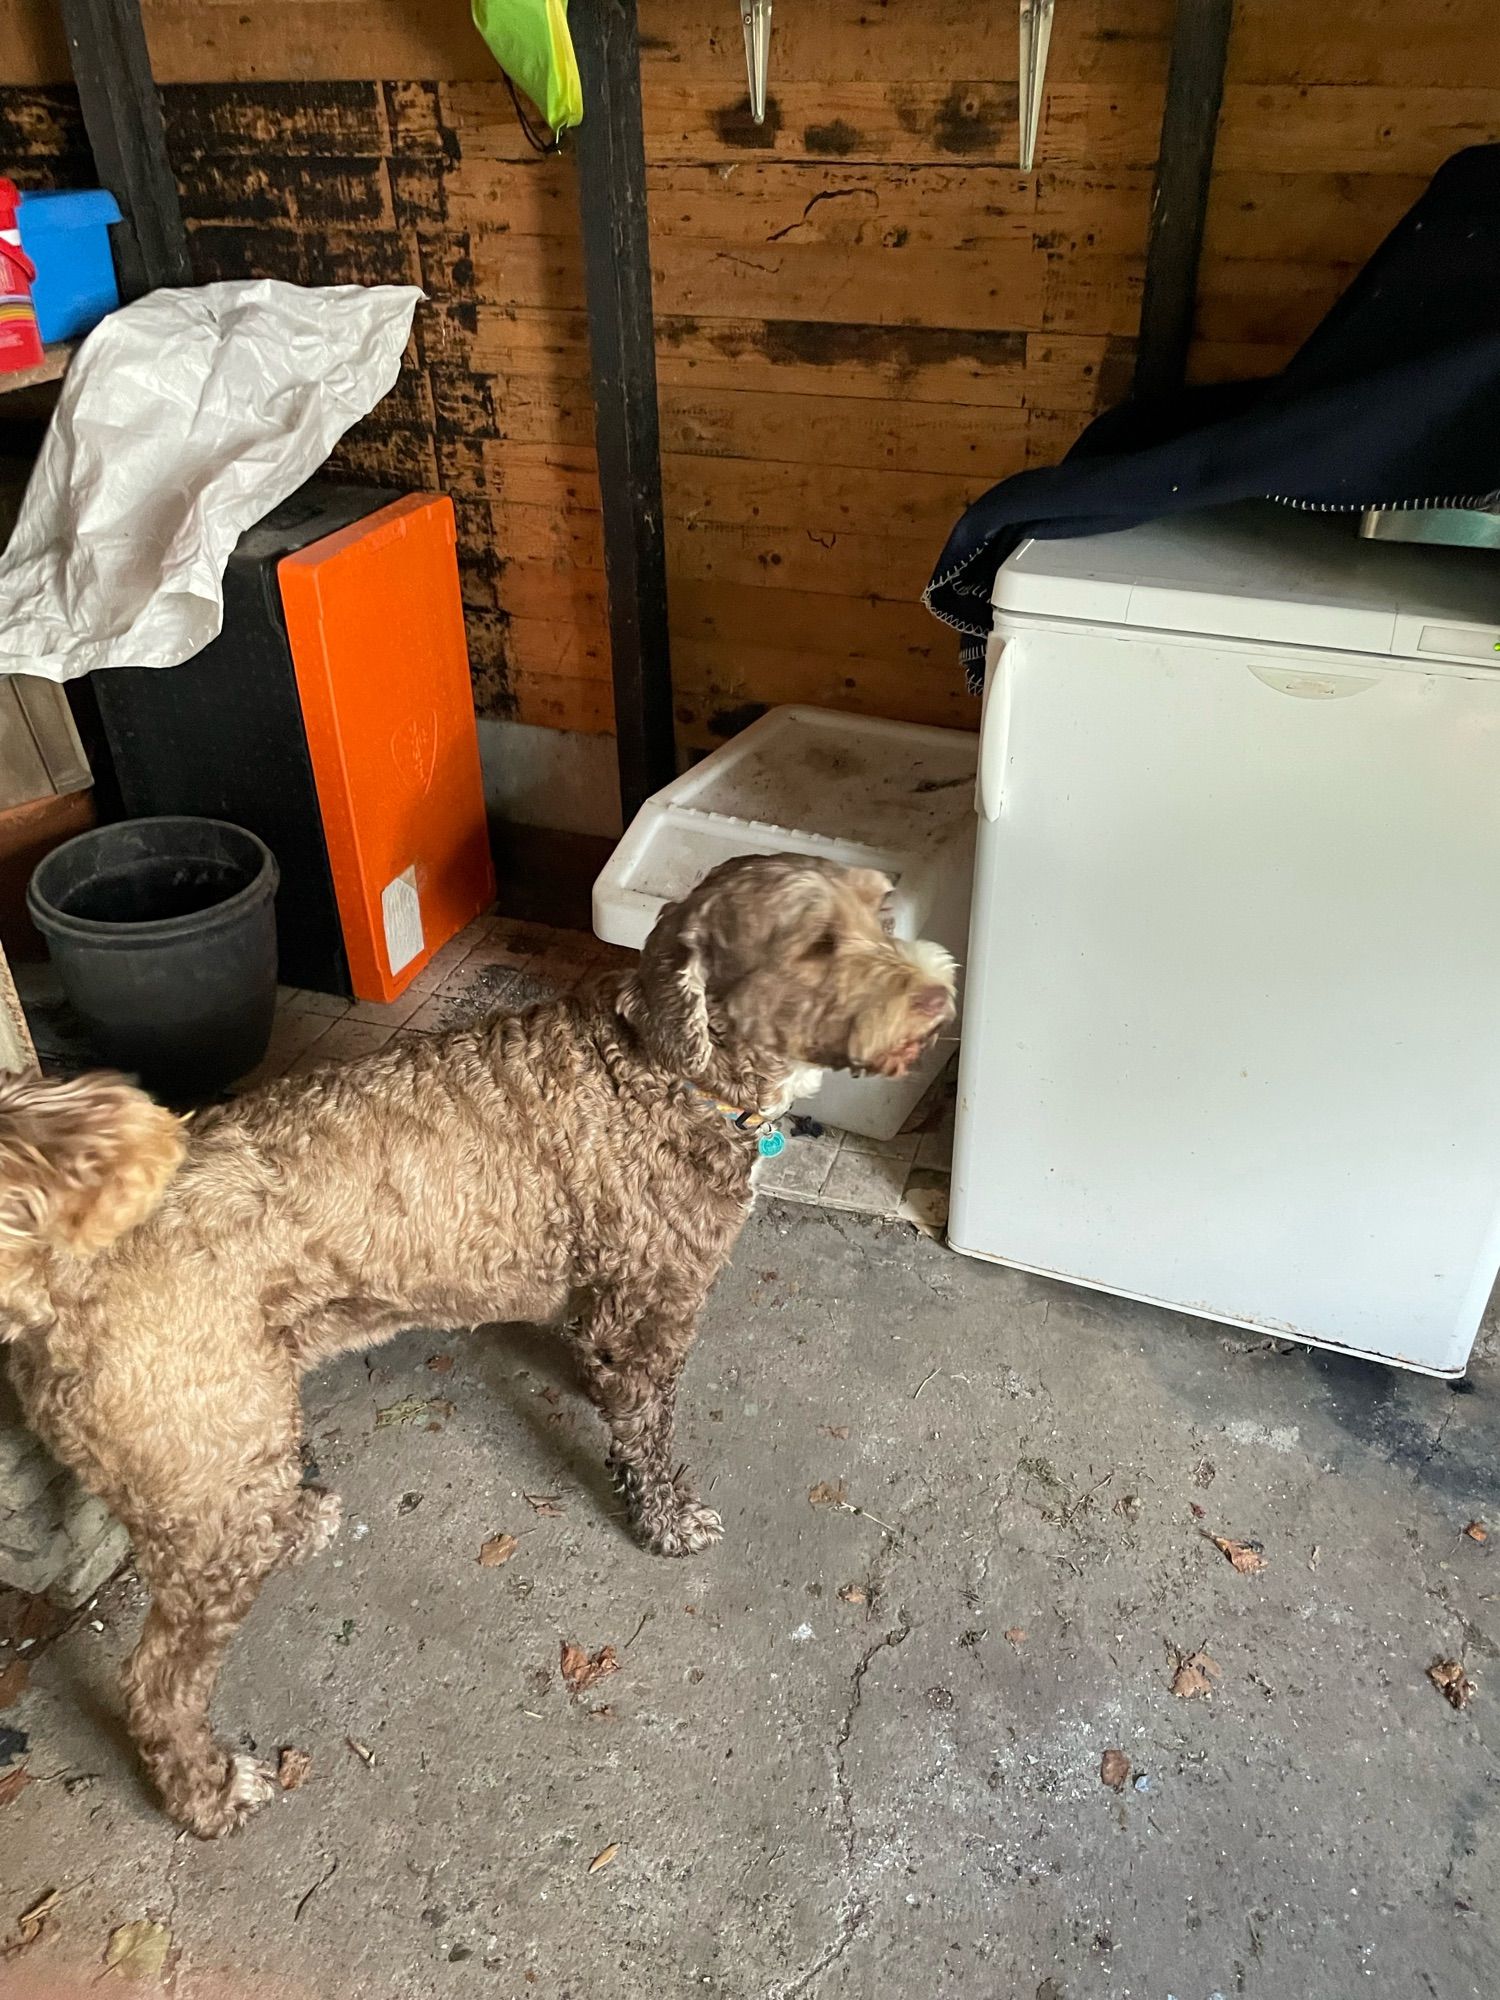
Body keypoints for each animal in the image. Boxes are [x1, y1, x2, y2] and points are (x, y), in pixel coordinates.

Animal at [0, 852, 956, 1832]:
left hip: (225, 1463)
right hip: (202, 1468)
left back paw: (298, 1523)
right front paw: (667, 1518)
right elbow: (648, 1434)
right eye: (815, 944)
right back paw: (210, 1790)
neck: (662, 1071)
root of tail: (52, 1266)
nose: (936, 994)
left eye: (883, 912)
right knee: (157, 1682)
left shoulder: (606, 1301)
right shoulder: (652, 1304)